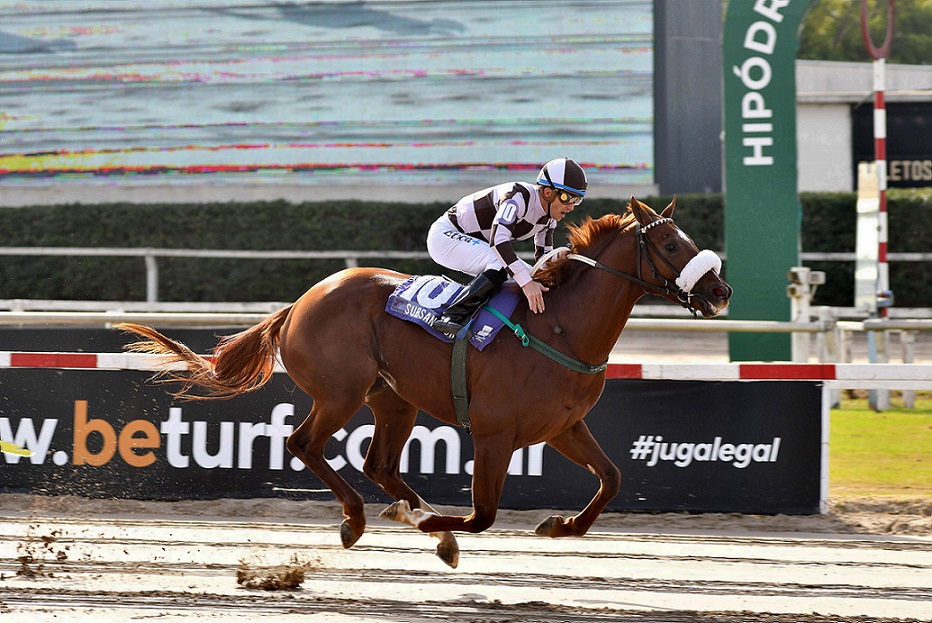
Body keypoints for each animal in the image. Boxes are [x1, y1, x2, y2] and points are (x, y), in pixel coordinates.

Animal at [117, 196, 732, 568]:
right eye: (671, 245)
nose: (720, 291)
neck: (560, 326)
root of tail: (301, 302)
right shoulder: (494, 434)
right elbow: (484, 513)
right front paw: (438, 521)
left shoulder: (563, 426)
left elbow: (612, 478)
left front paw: (560, 526)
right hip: (341, 393)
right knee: (304, 444)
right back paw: (365, 519)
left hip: (393, 400)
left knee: (378, 465)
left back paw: (416, 520)